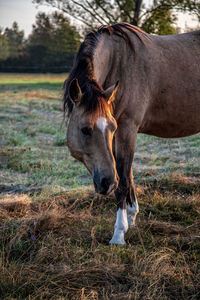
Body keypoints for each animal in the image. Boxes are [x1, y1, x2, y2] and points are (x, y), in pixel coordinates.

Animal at [63, 22, 200, 244]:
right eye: (85, 129)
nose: (106, 184)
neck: (119, 62)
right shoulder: (119, 133)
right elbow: (126, 173)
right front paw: (131, 218)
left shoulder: (126, 128)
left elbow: (124, 178)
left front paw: (119, 233)